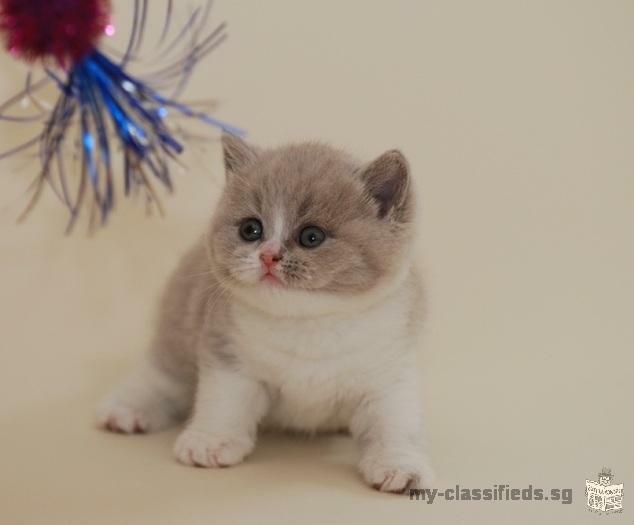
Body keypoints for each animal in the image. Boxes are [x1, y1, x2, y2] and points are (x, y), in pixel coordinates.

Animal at [96, 134, 432, 492]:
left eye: (311, 236)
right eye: (250, 229)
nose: (268, 256)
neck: (309, 326)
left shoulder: (389, 370)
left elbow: (394, 421)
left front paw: (399, 465)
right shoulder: (227, 352)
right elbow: (224, 399)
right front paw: (210, 442)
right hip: (179, 327)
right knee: (161, 376)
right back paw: (124, 410)